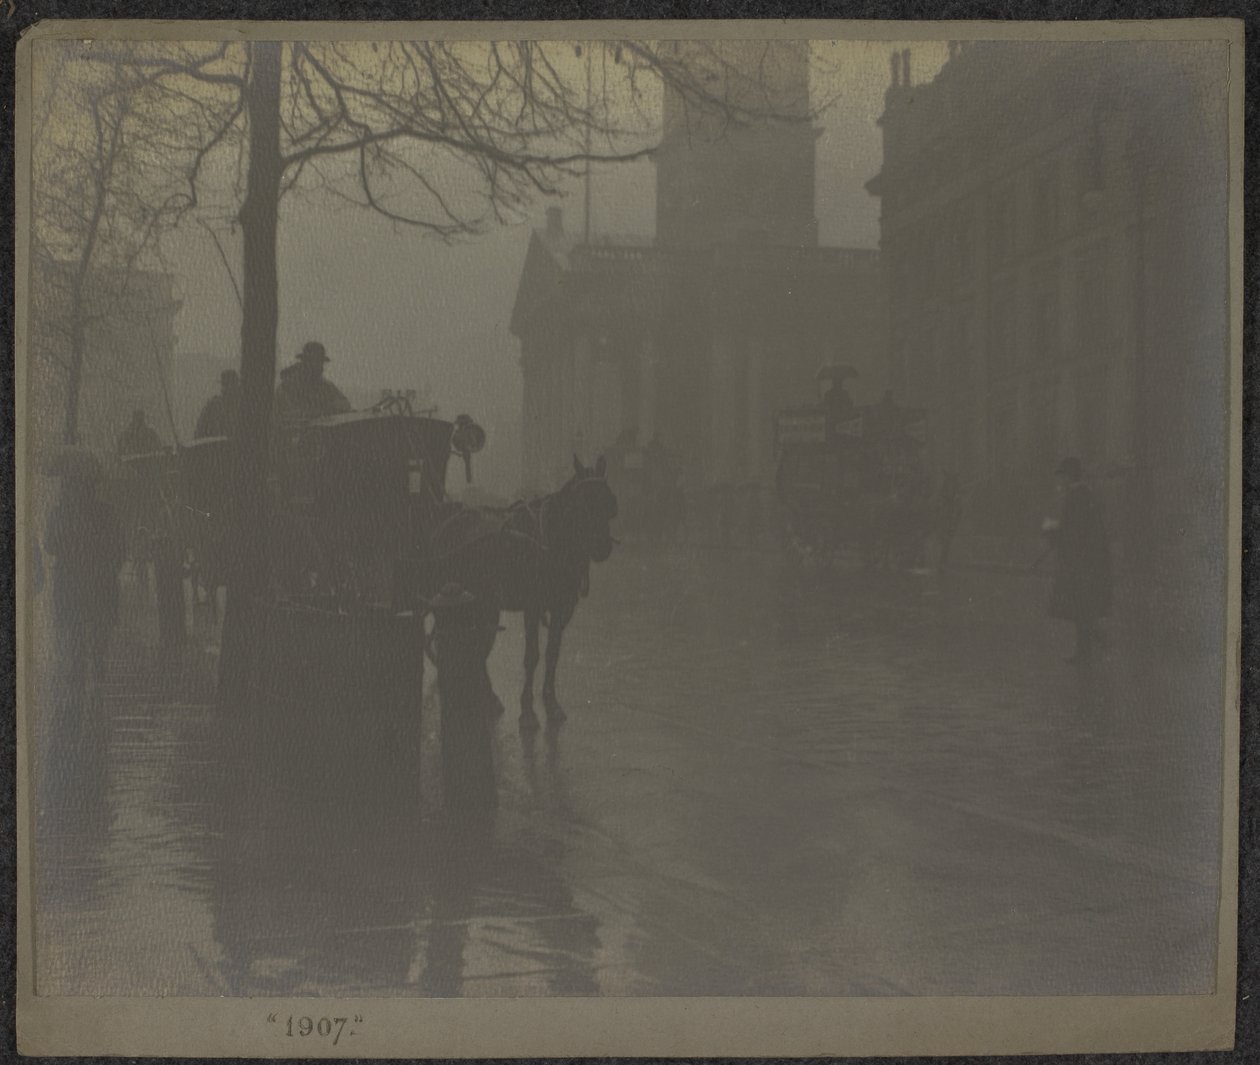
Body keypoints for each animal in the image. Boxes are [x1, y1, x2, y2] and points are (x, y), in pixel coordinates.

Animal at [420, 456, 617, 731]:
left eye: (609, 503)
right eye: (582, 504)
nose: (602, 548)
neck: (549, 543)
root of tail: (444, 526)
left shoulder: (562, 608)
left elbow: (552, 654)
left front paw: (551, 703)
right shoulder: (532, 607)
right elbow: (532, 656)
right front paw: (527, 711)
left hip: (483, 604)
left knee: (479, 645)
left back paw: (489, 697)